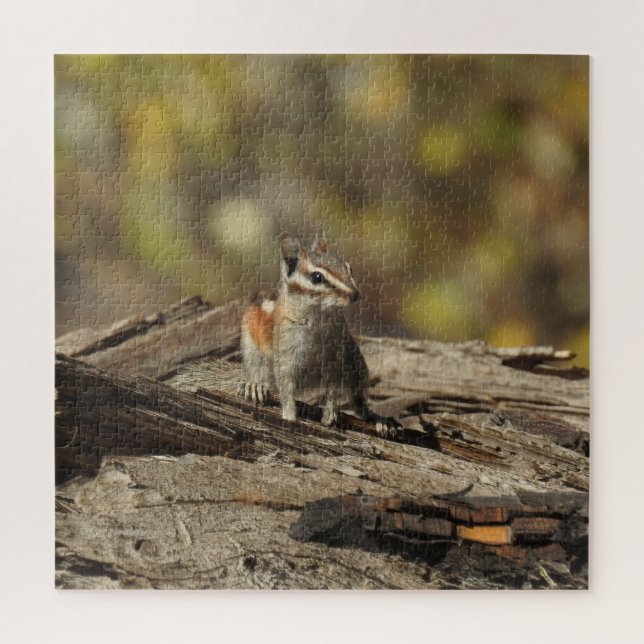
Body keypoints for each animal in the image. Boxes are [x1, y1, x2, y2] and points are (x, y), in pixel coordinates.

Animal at [238, 229, 399, 436]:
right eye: (316, 277)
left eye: (349, 268)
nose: (355, 295)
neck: (318, 317)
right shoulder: (286, 354)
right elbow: (286, 388)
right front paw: (289, 416)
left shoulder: (335, 355)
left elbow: (333, 387)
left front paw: (330, 409)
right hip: (252, 344)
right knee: (259, 373)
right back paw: (255, 386)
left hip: (354, 360)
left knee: (358, 403)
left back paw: (378, 419)